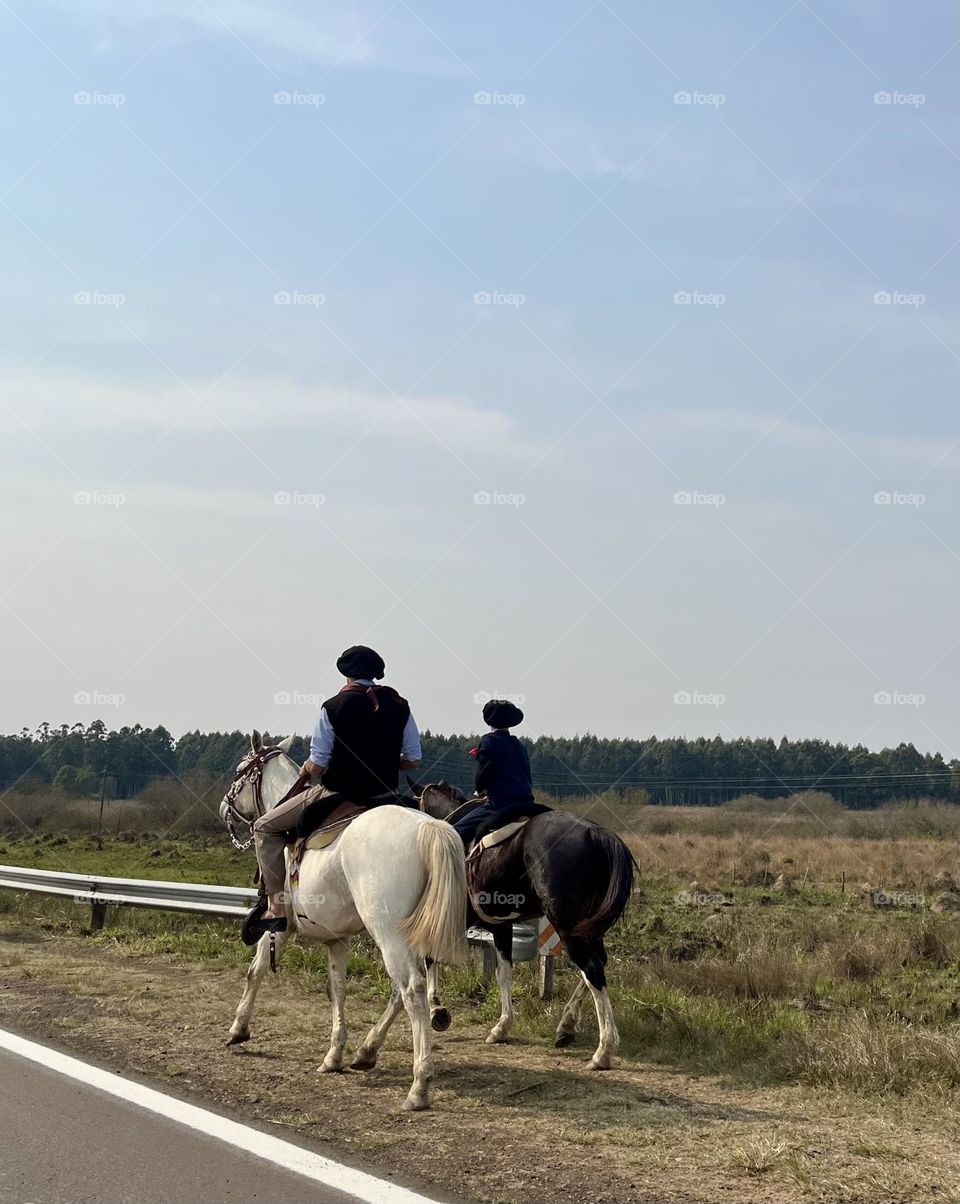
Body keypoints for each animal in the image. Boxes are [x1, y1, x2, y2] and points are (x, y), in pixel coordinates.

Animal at [218, 733, 467, 1111]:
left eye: (240, 771)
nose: (223, 807)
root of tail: (428, 826)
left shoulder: (280, 926)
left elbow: (256, 970)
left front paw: (238, 1028)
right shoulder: (336, 939)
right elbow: (337, 990)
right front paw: (334, 1054)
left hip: (388, 934)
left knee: (411, 990)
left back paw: (419, 1085)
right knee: (402, 991)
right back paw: (367, 1051)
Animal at [414, 780, 635, 1070]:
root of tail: (595, 834)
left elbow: (430, 956)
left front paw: (436, 1008)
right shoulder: (501, 926)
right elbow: (504, 973)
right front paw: (501, 1027)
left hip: (568, 926)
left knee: (592, 969)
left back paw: (603, 1051)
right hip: (586, 928)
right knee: (596, 966)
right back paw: (566, 1026)